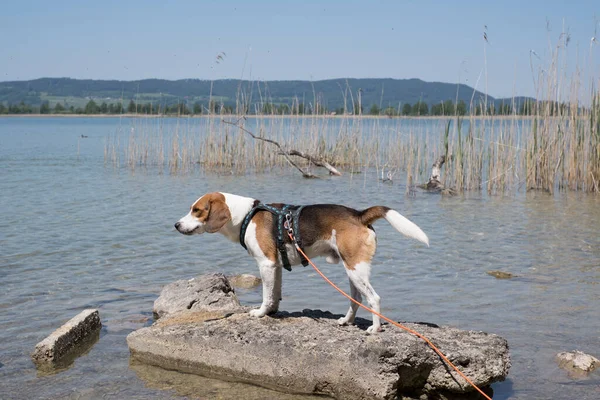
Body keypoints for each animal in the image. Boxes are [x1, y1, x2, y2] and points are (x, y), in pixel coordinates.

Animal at [173, 192, 426, 332]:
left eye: (197, 210)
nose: (176, 225)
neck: (245, 215)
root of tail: (359, 214)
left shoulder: (266, 263)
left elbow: (265, 295)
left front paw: (260, 313)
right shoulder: (275, 266)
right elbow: (274, 293)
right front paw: (272, 312)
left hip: (356, 269)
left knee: (374, 298)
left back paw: (374, 329)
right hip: (352, 271)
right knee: (356, 298)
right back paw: (346, 321)